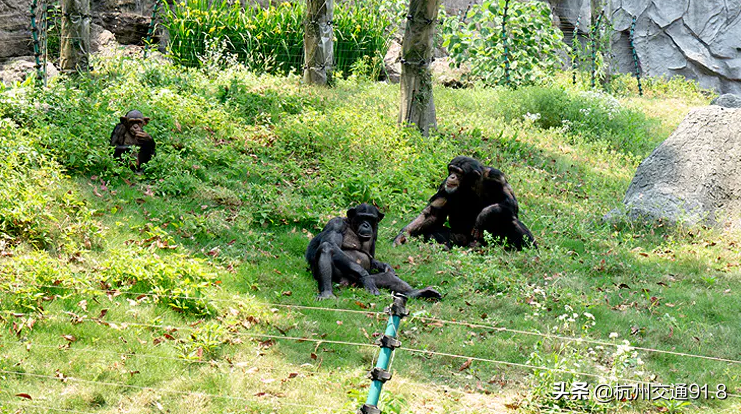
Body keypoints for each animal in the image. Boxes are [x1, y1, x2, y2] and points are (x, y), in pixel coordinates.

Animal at [304, 204, 440, 300]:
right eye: (362, 217)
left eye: (371, 219)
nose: (366, 225)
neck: (351, 225)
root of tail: (347, 283)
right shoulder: (335, 224)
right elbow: (332, 244)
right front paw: (364, 274)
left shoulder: (376, 231)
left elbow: (373, 258)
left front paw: (386, 266)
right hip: (339, 278)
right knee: (327, 247)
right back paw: (327, 293)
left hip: (358, 283)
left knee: (389, 277)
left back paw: (418, 293)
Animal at [390, 157, 536, 251]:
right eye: (451, 170)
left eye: (458, 172)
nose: (452, 176)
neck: (471, 185)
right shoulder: (445, 185)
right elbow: (433, 213)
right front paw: (403, 236)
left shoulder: (497, 176)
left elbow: (511, 203)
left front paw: (483, 216)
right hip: (461, 239)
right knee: (433, 232)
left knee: (511, 220)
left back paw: (529, 249)